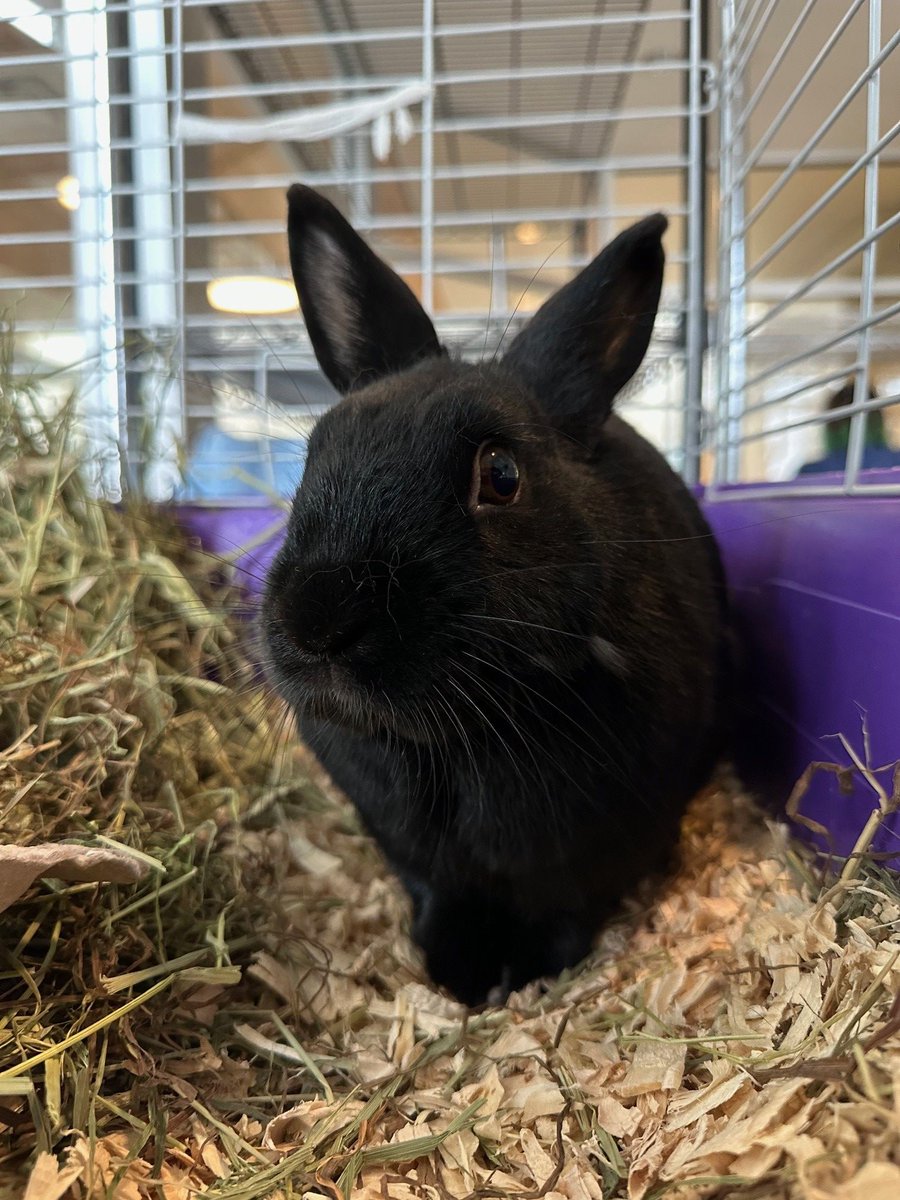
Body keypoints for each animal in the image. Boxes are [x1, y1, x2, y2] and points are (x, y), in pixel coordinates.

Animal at [262, 184, 731, 1007]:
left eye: (502, 475)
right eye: (313, 457)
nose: (317, 621)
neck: (460, 743)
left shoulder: (601, 847)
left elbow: (567, 905)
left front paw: (525, 973)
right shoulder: (417, 854)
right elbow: (441, 893)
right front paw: (456, 970)